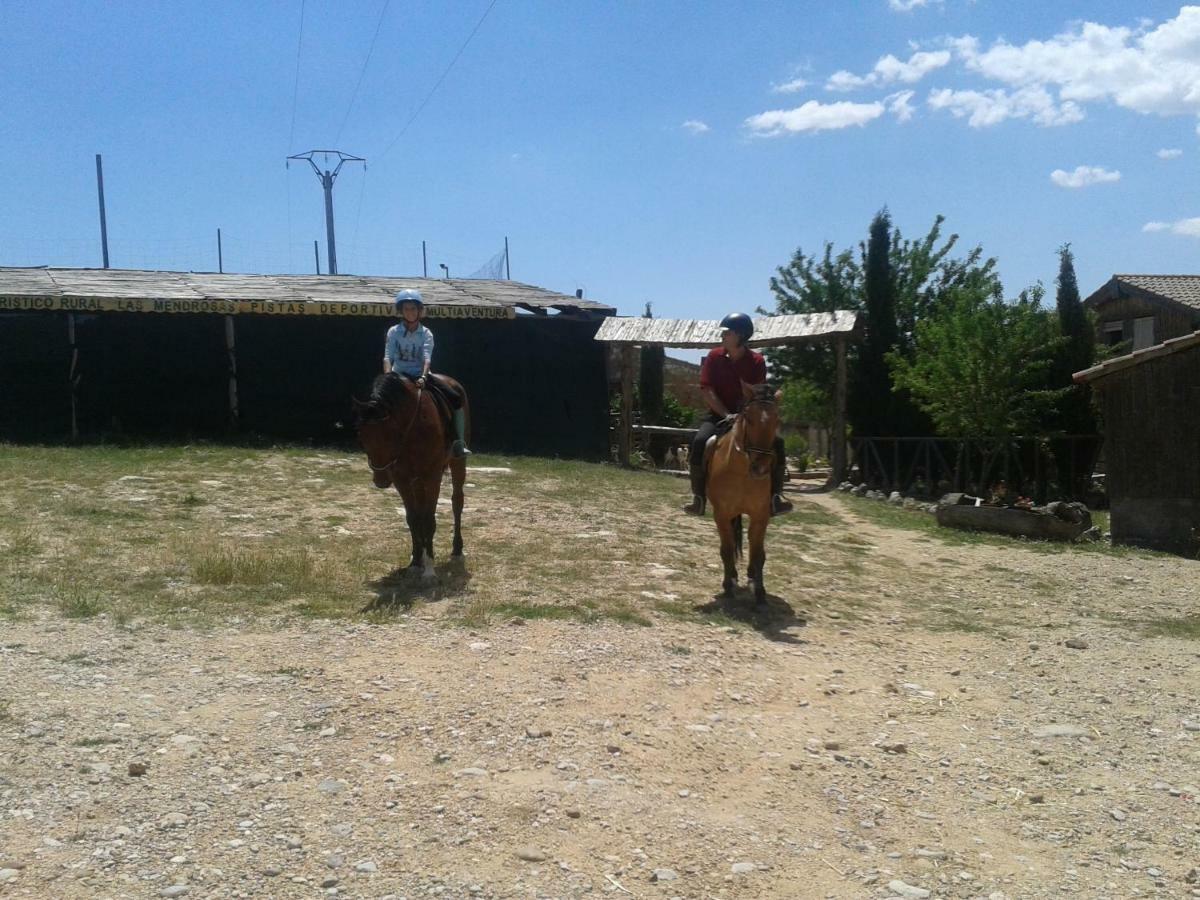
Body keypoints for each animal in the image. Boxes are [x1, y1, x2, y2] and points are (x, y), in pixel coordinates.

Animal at [350, 374, 468, 580]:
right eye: (361, 435)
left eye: (390, 434)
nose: (381, 479)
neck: (413, 428)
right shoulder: (401, 480)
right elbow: (413, 518)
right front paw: (416, 561)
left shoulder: (432, 478)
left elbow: (429, 519)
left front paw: (429, 569)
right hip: (417, 481)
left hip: (457, 463)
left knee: (457, 502)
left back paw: (457, 550)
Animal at [700, 381, 777, 607]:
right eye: (748, 418)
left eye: (777, 420)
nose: (760, 468)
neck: (742, 470)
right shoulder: (722, 514)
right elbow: (726, 549)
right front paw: (727, 587)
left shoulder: (761, 515)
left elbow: (758, 553)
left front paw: (760, 593)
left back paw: (750, 577)